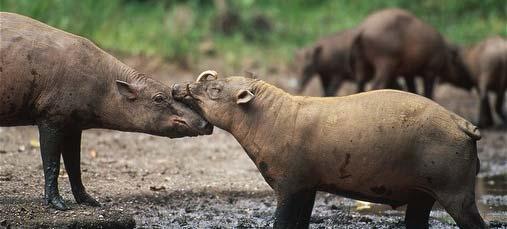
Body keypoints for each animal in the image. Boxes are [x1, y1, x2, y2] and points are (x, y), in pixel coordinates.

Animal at [0, 12, 212, 209]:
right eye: (159, 98)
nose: (207, 124)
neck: (103, 87)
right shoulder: (50, 118)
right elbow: (52, 163)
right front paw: (57, 203)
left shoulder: (73, 125)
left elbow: (74, 166)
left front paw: (88, 200)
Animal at [174, 70, 488, 228]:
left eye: (215, 91)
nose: (177, 87)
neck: (269, 117)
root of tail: (464, 125)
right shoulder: (308, 186)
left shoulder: (289, 185)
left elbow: (283, 223)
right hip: (423, 194)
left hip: (456, 192)